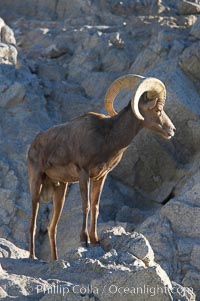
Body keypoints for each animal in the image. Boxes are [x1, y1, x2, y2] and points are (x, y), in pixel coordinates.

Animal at [26, 74, 175, 258]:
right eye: (158, 110)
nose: (172, 130)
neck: (107, 137)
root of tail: (32, 145)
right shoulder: (83, 174)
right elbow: (86, 206)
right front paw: (84, 240)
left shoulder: (100, 177)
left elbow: (95, 207)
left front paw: (95, 240)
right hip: (36, 184)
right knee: (33, 222)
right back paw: (32, 256)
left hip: (60, 189)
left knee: (51, 227)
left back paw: (55, 259)